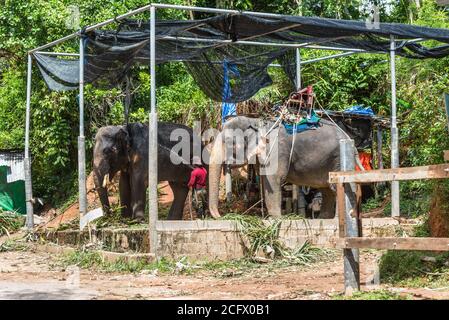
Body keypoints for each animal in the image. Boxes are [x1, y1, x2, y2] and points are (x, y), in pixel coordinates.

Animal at [207, 116, 346, 219]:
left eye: (228, 141)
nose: (221, 216)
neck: (255, 121)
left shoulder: (275, 149)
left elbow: (273, 178)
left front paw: (275, 219)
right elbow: (264, 179)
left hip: (338, 159)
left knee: (336, 186)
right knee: (327, 190)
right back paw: (324, 219)